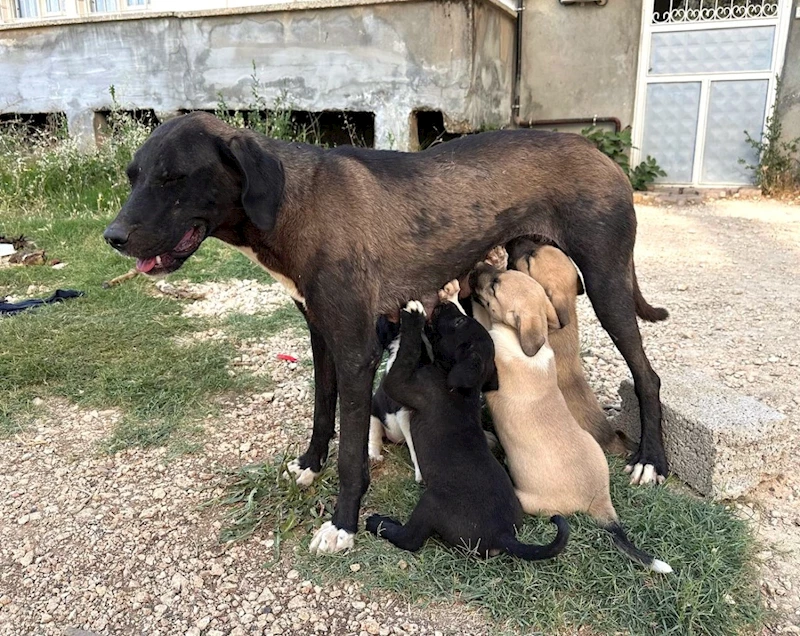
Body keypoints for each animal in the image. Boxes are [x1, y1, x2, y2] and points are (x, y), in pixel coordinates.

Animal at [366, 300, 572, 560]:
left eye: (459, 321)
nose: (443, 302)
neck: (462, 385)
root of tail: (503, 535)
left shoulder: (403, 384)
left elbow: (405, 355)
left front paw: (413, 316)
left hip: (431, 502)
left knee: (410, 539)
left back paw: (380, 524)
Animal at [472, 266, 672, 572]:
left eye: (495, 285)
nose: (476, 269)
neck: (525, 343)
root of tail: (601, 505)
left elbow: (481, 320)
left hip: (528, 499)